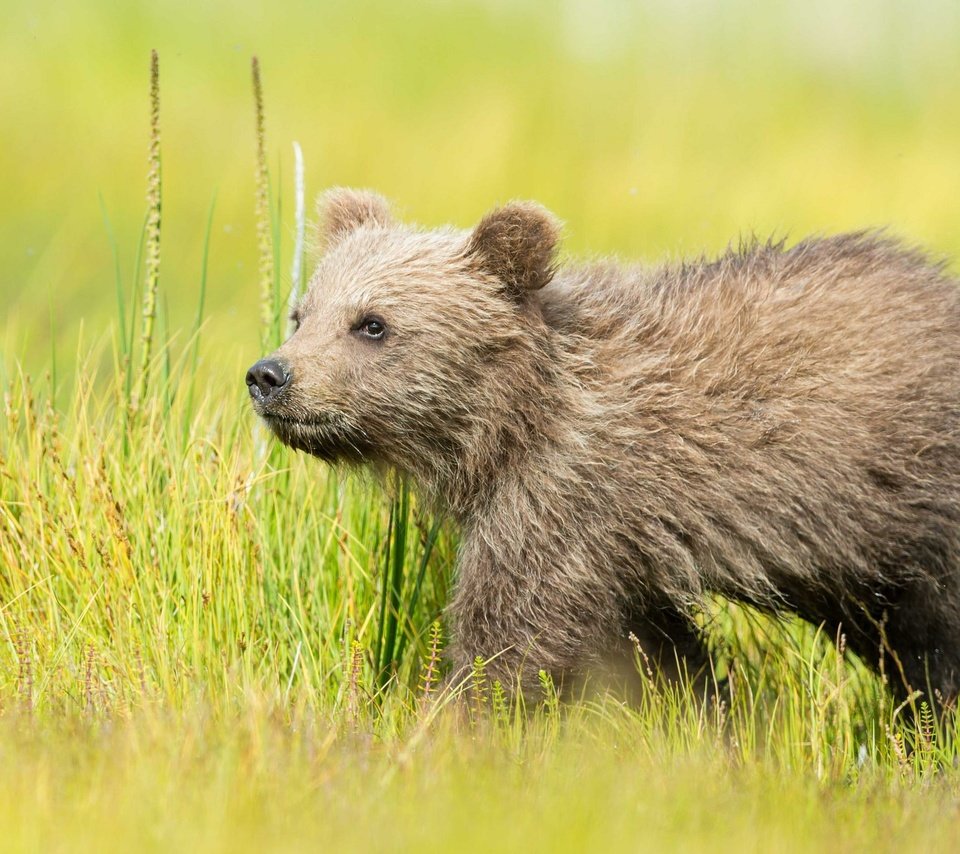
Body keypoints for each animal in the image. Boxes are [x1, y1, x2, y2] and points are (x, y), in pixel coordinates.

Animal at [246, 191, 960, 704]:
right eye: (302, 313)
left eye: (372, 323)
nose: (269, 376)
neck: (507, 426)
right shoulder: (617, 552)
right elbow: (655, 653)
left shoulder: (563, 499)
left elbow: (509, 641)